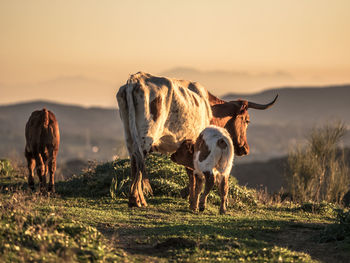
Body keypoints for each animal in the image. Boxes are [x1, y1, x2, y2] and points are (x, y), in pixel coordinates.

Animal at [116, 72, 278, 208]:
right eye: (247, 120)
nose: (245, 149)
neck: (210, 109)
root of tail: (135, 80)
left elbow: (190, 172)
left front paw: (190, 199)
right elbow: (194, 173)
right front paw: (192, 201)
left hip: (130, 136)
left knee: (134, 163)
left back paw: (134, 199)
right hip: (146, 137)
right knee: (139, 164)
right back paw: (138, 200)